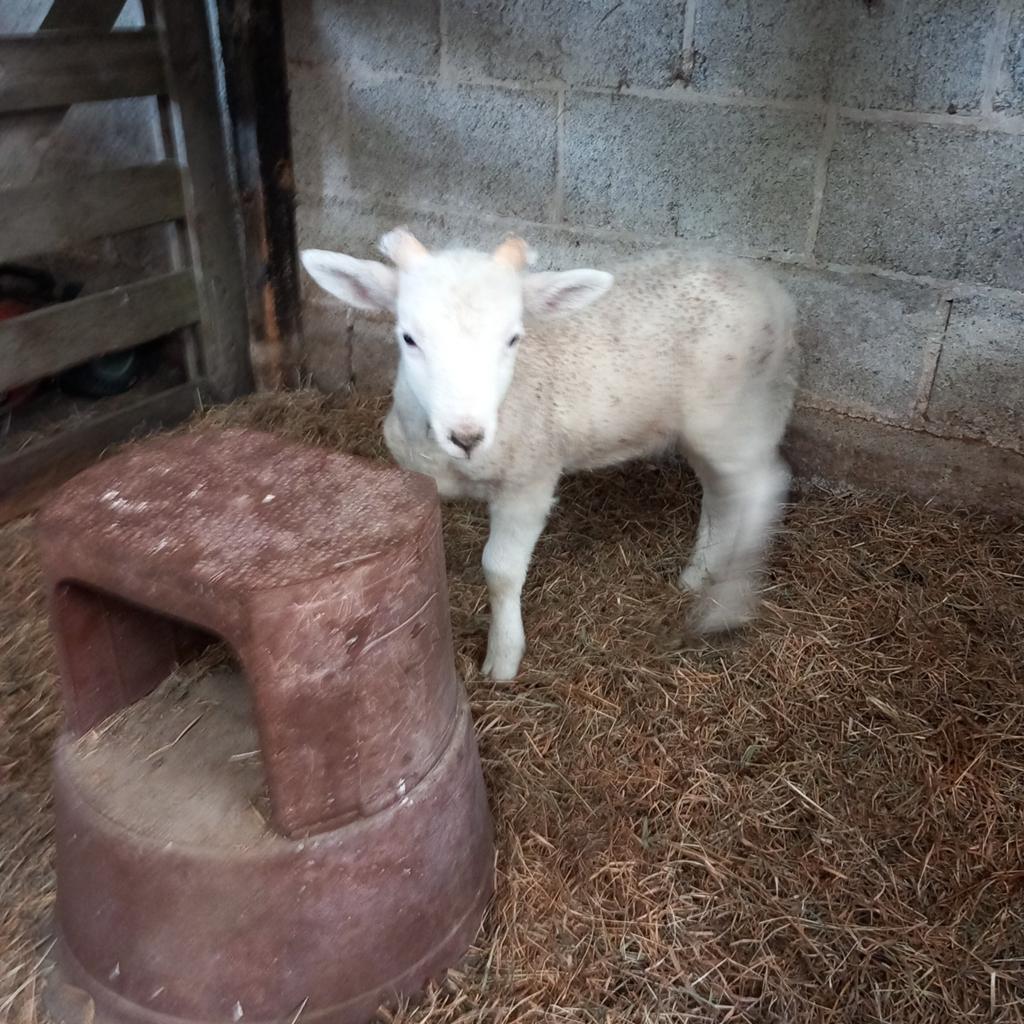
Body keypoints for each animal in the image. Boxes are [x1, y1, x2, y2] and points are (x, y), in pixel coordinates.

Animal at [301, 229, 799, 680]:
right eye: (408, 338)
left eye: (512, 339)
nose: (466, 436)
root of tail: (768, 288)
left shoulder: (530, 482)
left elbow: (500, 571)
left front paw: (502, 659)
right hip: (700, 427)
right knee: (722, 494)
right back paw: (699, 573)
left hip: (734, 412)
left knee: (763, 486)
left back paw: (724, 609)